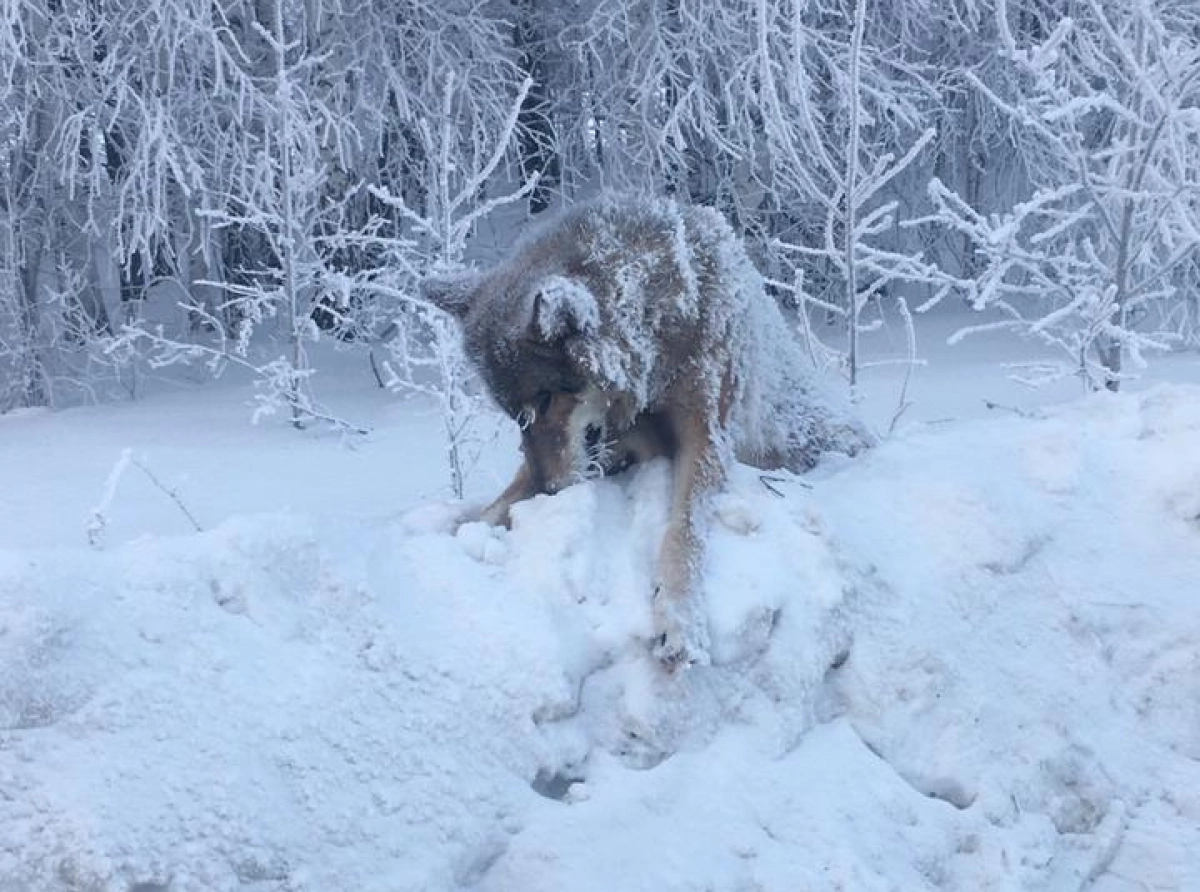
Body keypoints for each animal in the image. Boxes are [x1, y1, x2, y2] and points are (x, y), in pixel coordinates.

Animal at [424, 196, 873, 672]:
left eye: (544, 400)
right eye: (515, 417)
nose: (550, 492)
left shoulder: (704, 438)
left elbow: (684, 530)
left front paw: (679, 621)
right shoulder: (607, 448)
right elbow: (494, 507)